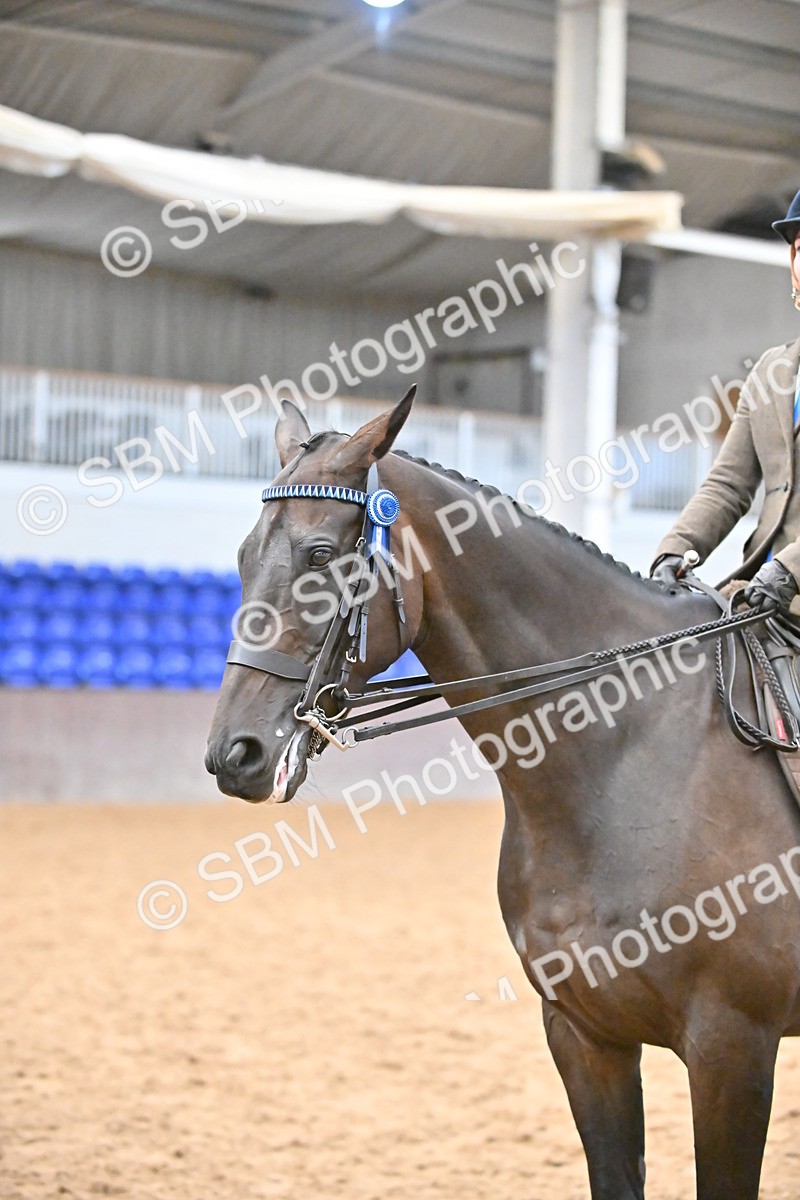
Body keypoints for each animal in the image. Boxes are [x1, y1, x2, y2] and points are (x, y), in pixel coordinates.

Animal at [205, 389, 800, 1200]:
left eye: (320, 556)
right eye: (242, 557)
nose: (233, 755)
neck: (623, 759)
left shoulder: (732, 1046)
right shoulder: (584, 1034)